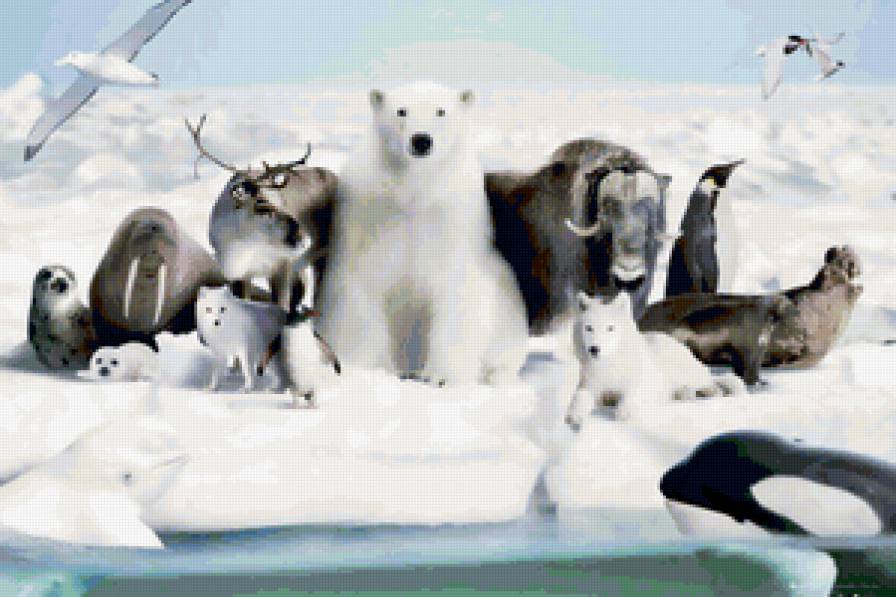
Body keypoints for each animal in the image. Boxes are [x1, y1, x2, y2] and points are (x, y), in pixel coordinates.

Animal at [316, 82, 528, 386]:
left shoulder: (450, 227)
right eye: (401, 110)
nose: (421, 140)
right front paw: (368, 368)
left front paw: (442, 376)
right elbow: (362, 293)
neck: (414, 194)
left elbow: (455, 298)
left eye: (441, 111)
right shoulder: (367, 220)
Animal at [565, 292, 742, 428]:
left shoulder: (642, 384)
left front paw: (623, 412)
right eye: (589, 328)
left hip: (687, 373)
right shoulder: (590, 386)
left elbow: (631, 396)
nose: (594, 349)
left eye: (610, 328)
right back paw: (683, 393)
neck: (609, 364)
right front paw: (574, 415)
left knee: (714, 386)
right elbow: (579, 398)